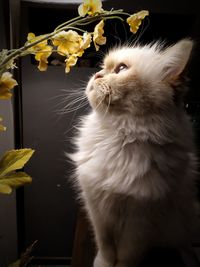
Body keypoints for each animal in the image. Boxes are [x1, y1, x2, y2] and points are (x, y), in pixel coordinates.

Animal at [69, 39, 198, 267]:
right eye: (103, 67)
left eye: (121, 69)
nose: (96, 75)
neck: (118, 140)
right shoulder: (97, 211)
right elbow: (106, 248)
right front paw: (103, 264)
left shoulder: (140, 224)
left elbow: (126, 257)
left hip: (181, 223)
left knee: (185, 246)